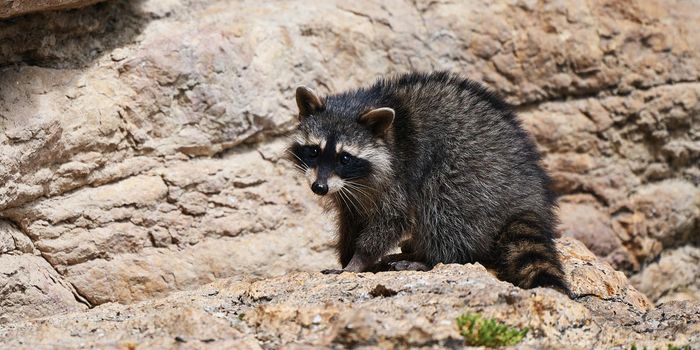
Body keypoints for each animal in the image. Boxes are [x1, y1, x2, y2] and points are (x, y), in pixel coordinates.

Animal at [290, 71, 568, 292]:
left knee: (443, 205)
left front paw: (358, 260)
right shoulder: (348, 190)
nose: (319, 188)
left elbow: (392, 219)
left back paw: (432, 258)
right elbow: (351, 219)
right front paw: (347, 255)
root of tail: (528, 194)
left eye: (345, 158)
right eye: (314, 151)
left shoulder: (399, 175)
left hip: (476, 176)